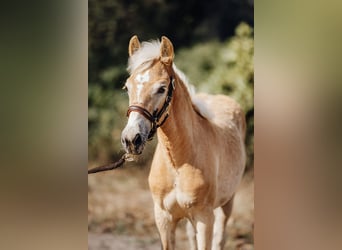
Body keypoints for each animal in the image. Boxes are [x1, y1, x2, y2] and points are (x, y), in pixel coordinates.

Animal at [120, 35, 246, 250]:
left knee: (220, 237)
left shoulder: (204, 218)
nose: (131, 139)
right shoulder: (163, 218)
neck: (178, 162)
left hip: (227, 203)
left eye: (162, 88)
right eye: (127, 87)